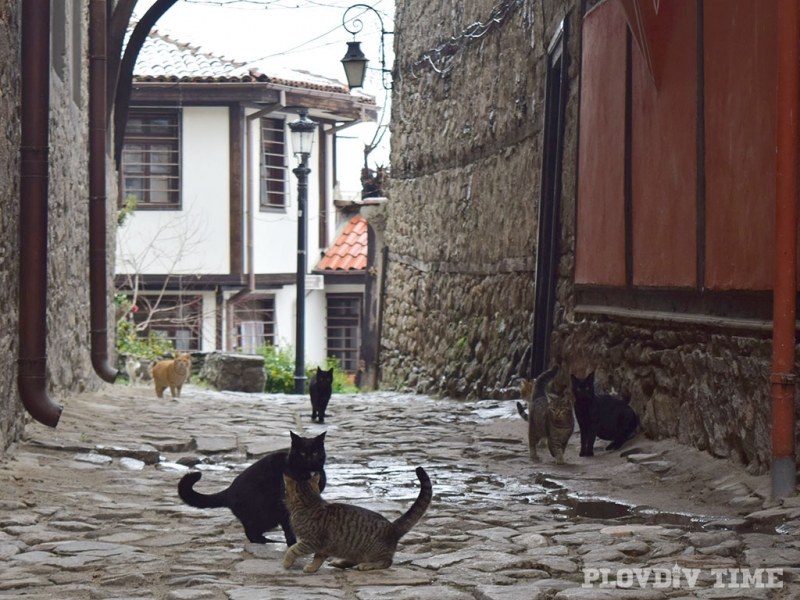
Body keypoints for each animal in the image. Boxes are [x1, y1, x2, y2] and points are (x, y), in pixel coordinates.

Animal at [177, 428, 324, 548]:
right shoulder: (284, 506)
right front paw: (293, 544)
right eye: (302, 453)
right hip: (264, 514)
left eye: (316, 452)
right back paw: (269, 541)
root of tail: (229, 490)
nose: (310, 459)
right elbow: (289, 528)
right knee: (251, 533)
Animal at [282, 464, 432, 572]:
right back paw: (340, 563)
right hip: (353, 549)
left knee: (386, 562)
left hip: (374, 551)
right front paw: (312, 567)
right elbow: (318, 558)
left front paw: (286, 563)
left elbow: (292, 549)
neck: (310, 502)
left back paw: (366, 565)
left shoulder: (311, 541)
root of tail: (392, 526)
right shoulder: (322, 546)